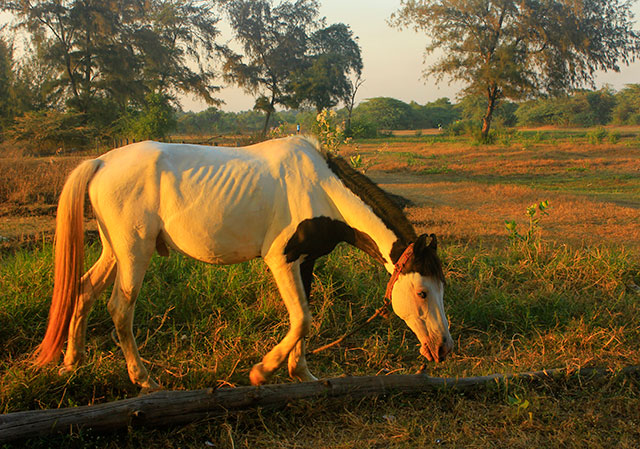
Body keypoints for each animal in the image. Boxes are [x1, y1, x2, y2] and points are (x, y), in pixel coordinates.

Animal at [35, 134, 452, 388]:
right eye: (422, 292)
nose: (443, 349)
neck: (321, 188)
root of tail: (101, 162)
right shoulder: (281, 259)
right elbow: (303, 319)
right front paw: (261, 372)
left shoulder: (305, 262)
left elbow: (304, 319)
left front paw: (302, 374)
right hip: (134, 253)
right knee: (120, 310)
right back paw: (145, 381)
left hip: (113, 251)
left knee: (83, 290)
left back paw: (72, 361)